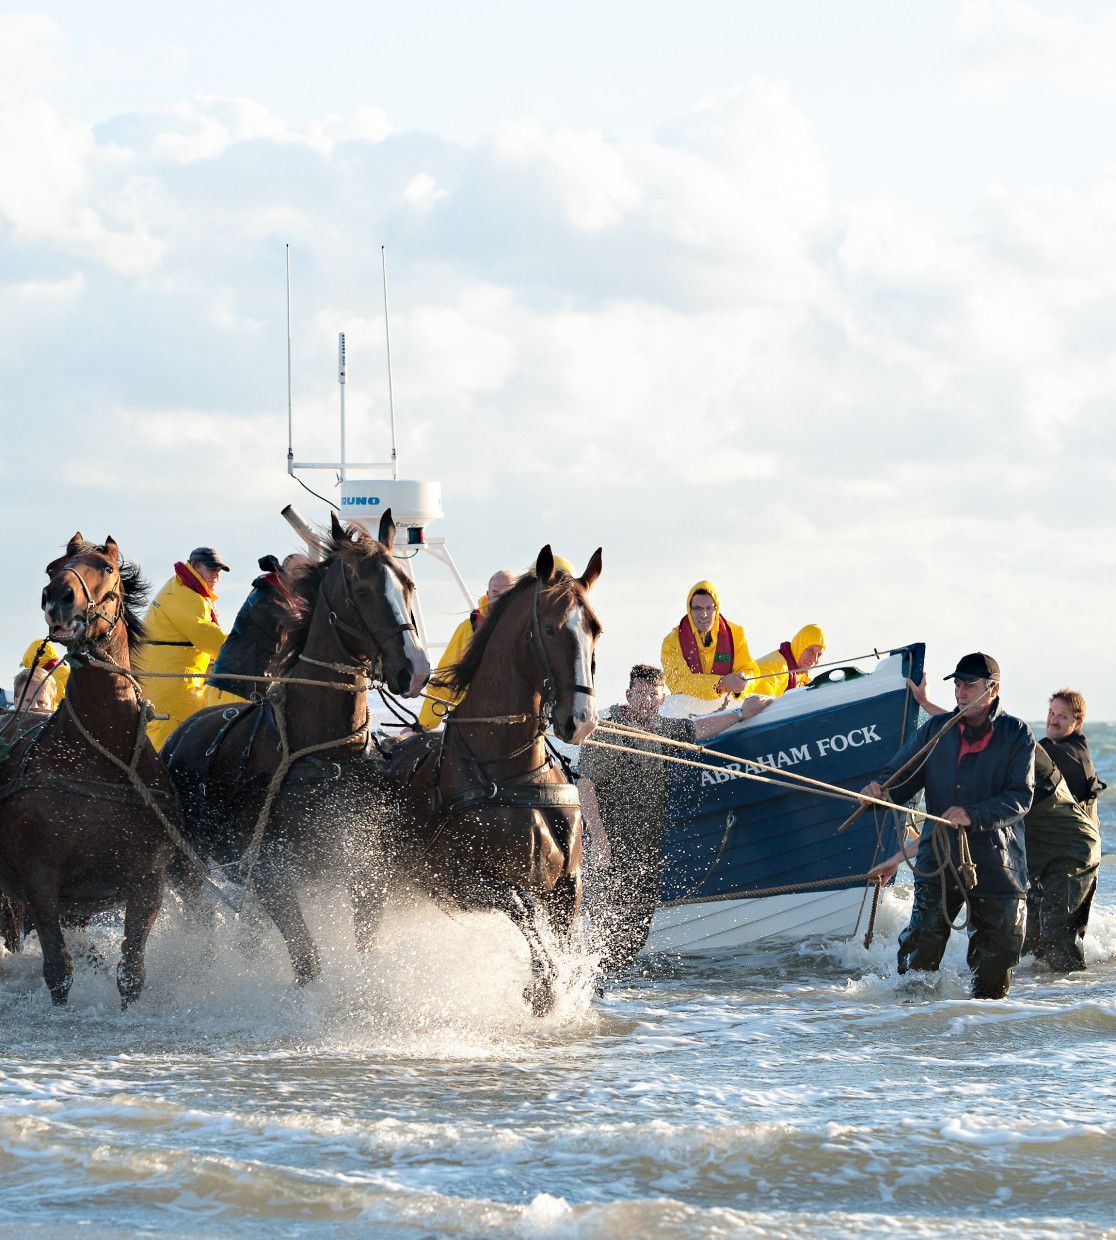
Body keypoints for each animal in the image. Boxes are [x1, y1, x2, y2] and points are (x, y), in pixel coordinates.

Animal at [0, 533, 174, 1006]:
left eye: (107, 568)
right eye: (51, 567)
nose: (58, 596)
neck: (97, 760)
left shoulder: (146, 878)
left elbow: (131, 972)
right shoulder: (39, 877)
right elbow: (59, 971)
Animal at [158, 508, 429, 982]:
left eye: (407, 585)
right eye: (362, 589)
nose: (415, 670)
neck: (323, 753)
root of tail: (178, 736)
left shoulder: (365, 872)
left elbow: (364, 946)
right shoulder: (271, 876)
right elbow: (307, 960)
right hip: (186, 865)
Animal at [376, 548, 602, 1011]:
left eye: (595, 628)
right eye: (550, 628)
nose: (582, 721)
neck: (513, 772)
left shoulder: (569, 883)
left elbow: (565, 942)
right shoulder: (466, 882)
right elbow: (523, 911)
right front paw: (540, 987)